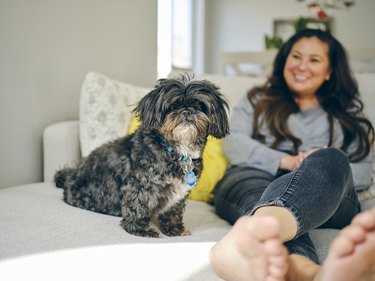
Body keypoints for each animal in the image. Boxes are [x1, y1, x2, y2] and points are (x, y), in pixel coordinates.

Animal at [54, 74, 231, 236]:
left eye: (200, 105)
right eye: (172, 106)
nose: (187, 111)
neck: (177, 151)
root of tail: (71, 175)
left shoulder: (179, 193)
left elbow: (173, 211)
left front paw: (174, 229)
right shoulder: (139, 185)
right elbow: (137, 206)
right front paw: (140, 229)